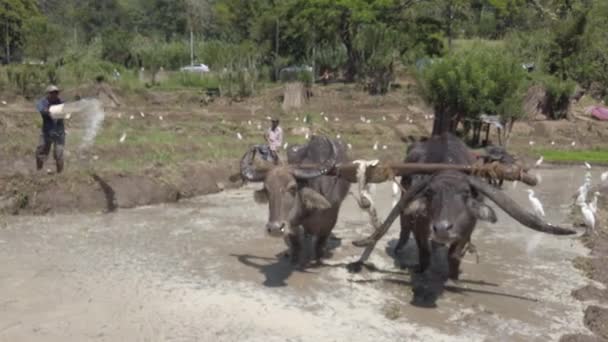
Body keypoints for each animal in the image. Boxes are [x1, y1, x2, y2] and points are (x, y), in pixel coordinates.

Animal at [240, 136, 350, 268]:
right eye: (267, 190)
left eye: (292, 188)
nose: (275, 229)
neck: (309, 209)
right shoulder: (291, 222)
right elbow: (296, 241)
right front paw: (295, 259)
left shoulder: (330, 220)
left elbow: (320, 242)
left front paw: (318, 259)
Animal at [352, 132, 576, 306]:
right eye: (430, 193)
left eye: (466, 194)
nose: (442, 228)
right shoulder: (421, 225)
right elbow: (424, 251)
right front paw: (421, 270)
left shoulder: (468, 228)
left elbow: (454, 254)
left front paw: (454, 276)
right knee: (404, 228)